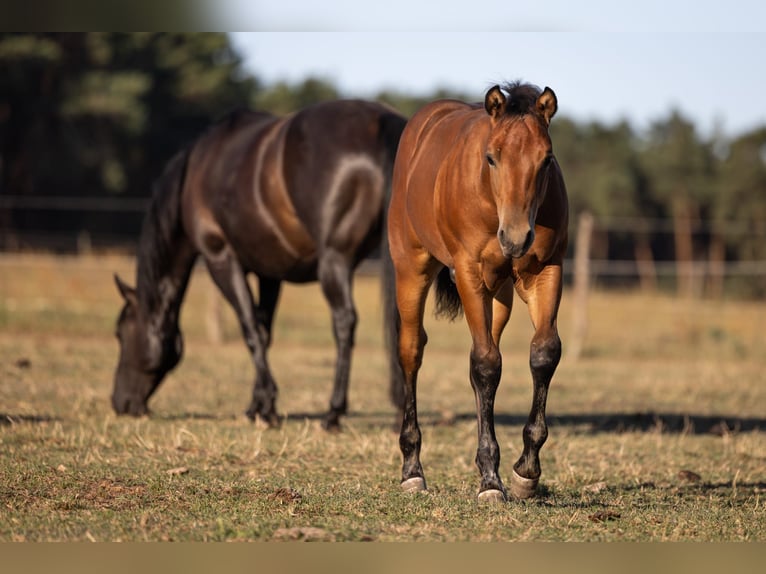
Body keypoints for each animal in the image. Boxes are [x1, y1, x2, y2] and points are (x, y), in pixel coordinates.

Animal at [112, 99, 407, 431]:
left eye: (121, 333)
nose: (120, 403)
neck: (194, 174)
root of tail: (381, 121)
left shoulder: (221, 260)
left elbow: (250, 329)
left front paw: (267, 406)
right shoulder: (270, 272)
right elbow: (264, 331)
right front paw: (257, 406)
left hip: (334, 261)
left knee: (344, 322)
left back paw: (333, 413)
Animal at [386, 82, 569, 502]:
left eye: (547, 159)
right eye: (491, 158)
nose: (515, 238)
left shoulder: (545, 270)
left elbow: (542, 353)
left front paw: (525, 471)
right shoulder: (468, 272)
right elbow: (486, 364)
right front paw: (490, 480)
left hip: (499, 292)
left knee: (486, 354)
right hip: (412, 267)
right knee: (412, 350)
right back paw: (411, 470)